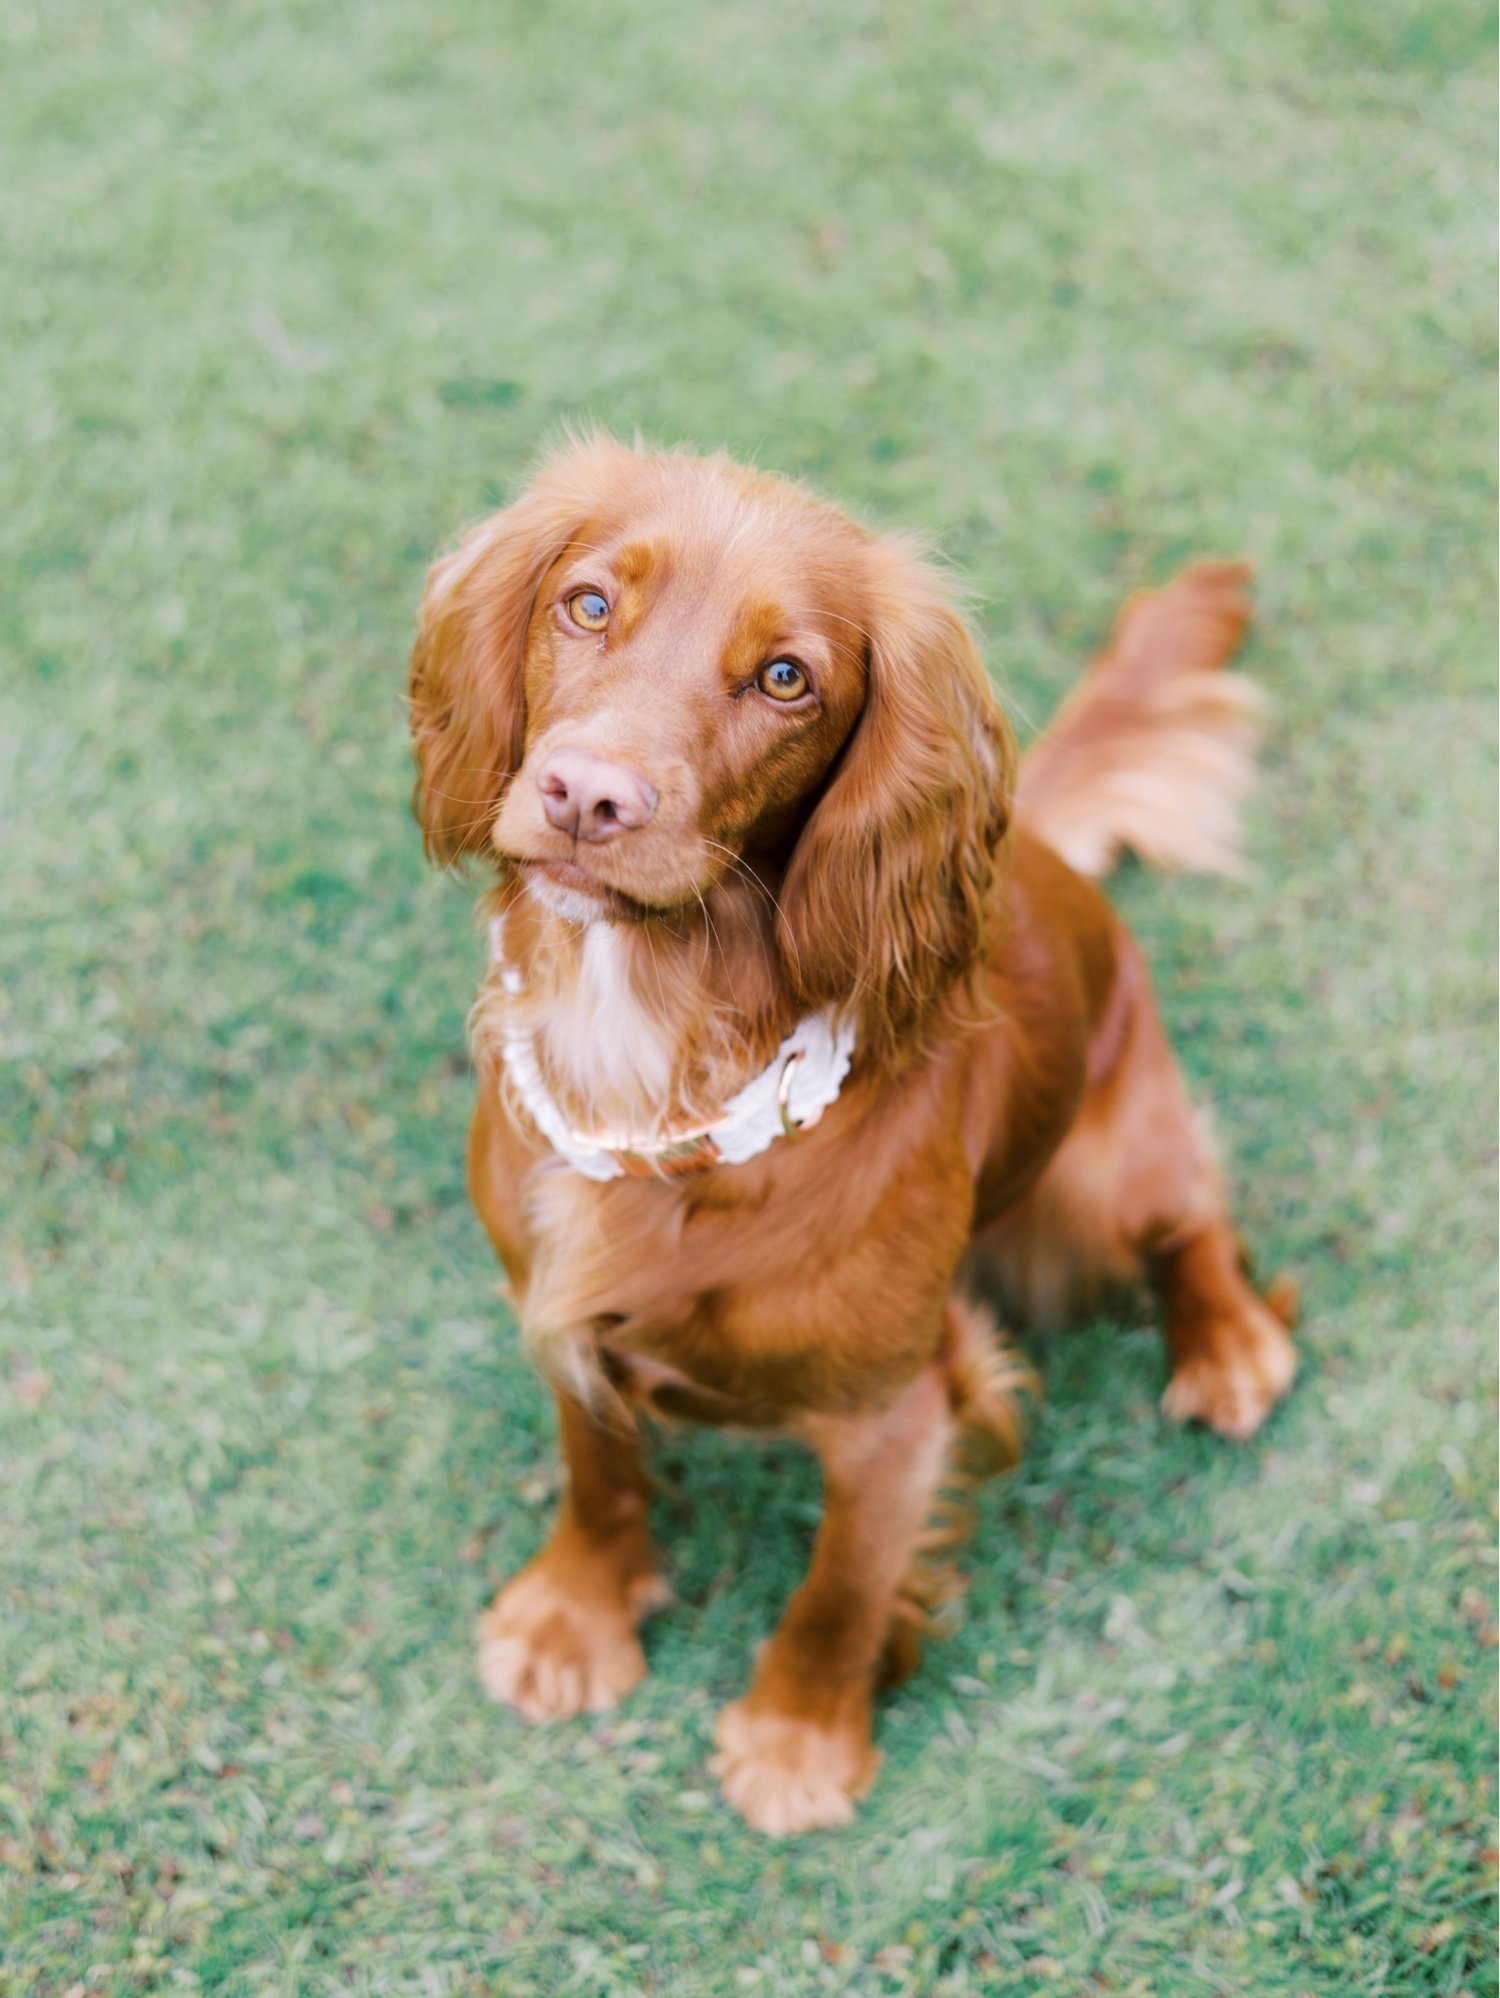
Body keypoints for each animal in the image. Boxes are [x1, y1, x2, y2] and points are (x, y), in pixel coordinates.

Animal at [405, 433, 1294, 1830]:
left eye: (787, 679)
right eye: (588, 604)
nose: (587, 797)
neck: (650, 1068)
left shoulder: (898, 1415)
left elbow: (841, 1586)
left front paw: (799, 1742)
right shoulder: (555, 1310)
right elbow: (597, 1467)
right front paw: (574, 1621)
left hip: (1104, 1163)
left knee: (1190, 1209)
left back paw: (1229, 1346)